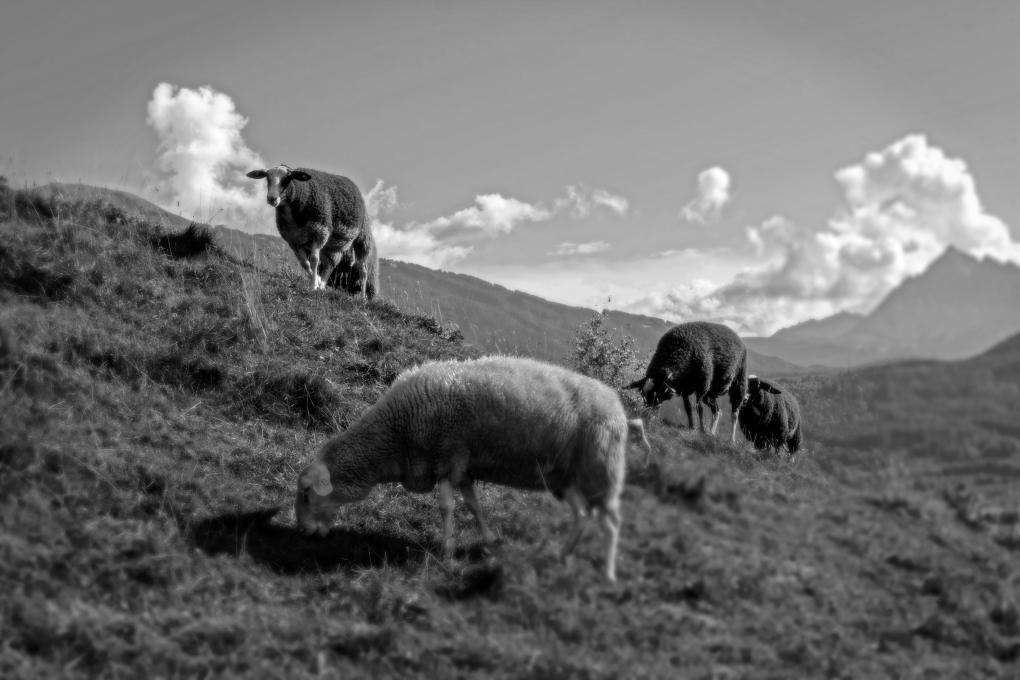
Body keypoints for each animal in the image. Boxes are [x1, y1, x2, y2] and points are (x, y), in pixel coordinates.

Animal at [246, 165, 376, 297]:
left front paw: (313, 286)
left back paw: (362, 296)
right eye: (267, 178)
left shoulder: (319, 233)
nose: (272, 198)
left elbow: (314, 260)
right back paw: (322, 285)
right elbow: (305, 263)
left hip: (362, 237)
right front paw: (317, 282)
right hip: (329, 245)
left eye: (287, 178)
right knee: (330, 264)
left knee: (363, 268)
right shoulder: (295, 240)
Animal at [294, 356, 651, 582]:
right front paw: (490, 539)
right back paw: (561, 556)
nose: (302, 532)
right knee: (583, 516)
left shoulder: (447, 456)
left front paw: (447, 550)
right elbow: (472, 504)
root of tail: (620, 410)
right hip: (568, 479)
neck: (396, 435)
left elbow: (446, 506)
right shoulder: (461, 466)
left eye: (307, 492)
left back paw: (607, 572)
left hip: (601, 471)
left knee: (611, 524)